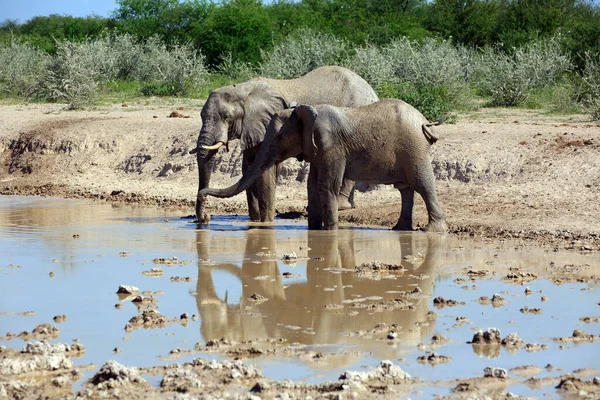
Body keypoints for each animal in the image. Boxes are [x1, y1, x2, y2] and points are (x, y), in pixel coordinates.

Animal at [193, 67, 380, 227]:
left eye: (226, 117)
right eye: (201, 115)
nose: (205, 219)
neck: (242, 89)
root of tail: (372, 91)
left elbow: (265, 171)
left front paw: (266, 223)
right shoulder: (253, 128)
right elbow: (248, 167)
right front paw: (254, 221)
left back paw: (341, 205)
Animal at [199, 98, 448, 233]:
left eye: (280, 138)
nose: (205, 218)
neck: (306, 111)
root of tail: (425, 122)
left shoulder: (332, 147)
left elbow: (326, 186)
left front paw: (329, 232)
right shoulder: (318, 150)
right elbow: (312, 186)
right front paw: (315, 231)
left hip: (414, 148)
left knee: (423, 184)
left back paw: (432, 231)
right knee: (406, 189)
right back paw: (399, 230)